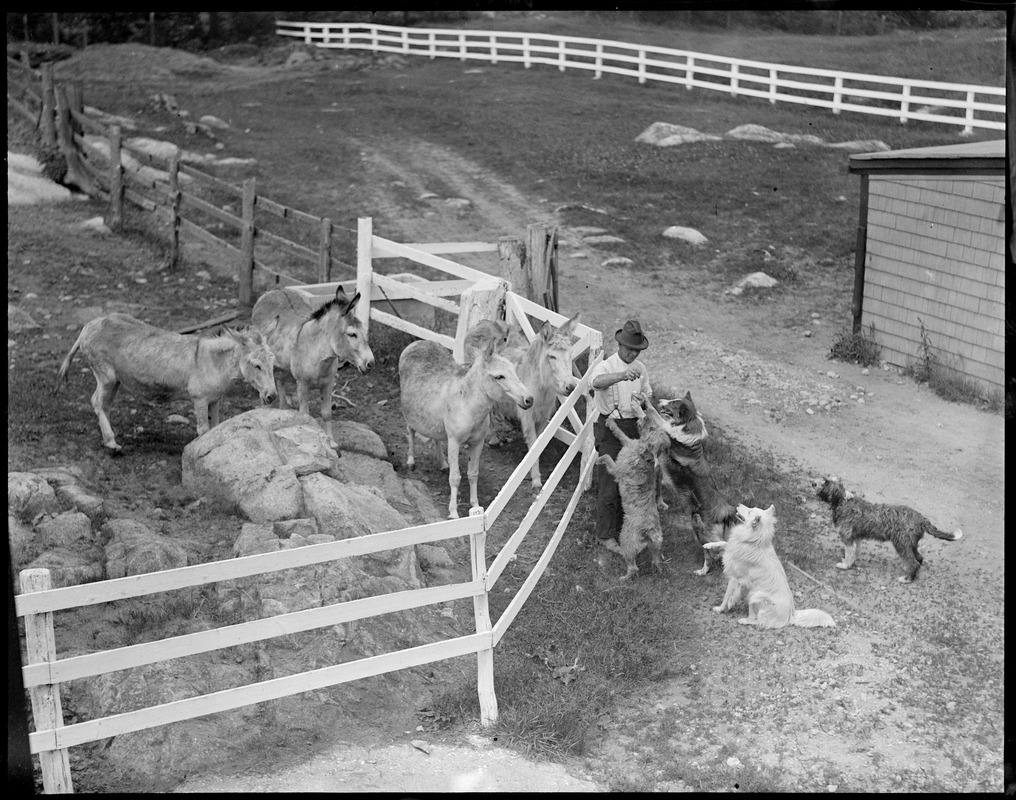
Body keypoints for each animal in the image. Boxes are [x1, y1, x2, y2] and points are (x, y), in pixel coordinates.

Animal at [593, 404, 674, 577]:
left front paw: (599, 459)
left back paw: (623, 576)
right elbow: (620, 433)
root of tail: (649, 531)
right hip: (657, 544)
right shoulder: (628, 442)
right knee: (656, 559)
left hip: (627, 539)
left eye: (651, 427)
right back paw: (656, 568)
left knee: (633, 567)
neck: (644, 457)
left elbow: (608, 455)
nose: (646, 413)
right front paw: (612, 422)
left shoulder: (617, 468)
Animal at [646, 392, 735, 577]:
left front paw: (642, 400)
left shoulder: (668, 436)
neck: (687, 424)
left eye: (672, 403)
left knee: (713, 552)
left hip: (699, 527)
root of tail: (725, 512)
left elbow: (655, 416)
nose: (659, 400)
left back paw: (702, 571)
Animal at [703, 504, 837, 630]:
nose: (738, 505)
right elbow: (724, 543)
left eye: (749, 511)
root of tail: (791, 615)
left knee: (758, 621)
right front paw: (708, 544)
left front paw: (720, 609)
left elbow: (727, 596)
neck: (755, 541)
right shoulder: (732, 547)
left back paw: (743, 620)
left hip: (755, 596)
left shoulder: (735, 579)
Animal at [812, 475, 963, 581]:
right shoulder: (857, 537)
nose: (812, 483)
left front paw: (845, 566)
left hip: (901, 543)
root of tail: (921, 519)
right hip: (910, 544)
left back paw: (907, 579)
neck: (843, 501)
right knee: (919, 558)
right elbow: (854, 552)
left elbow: (849, 553)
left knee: (914, 562)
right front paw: (849, 562)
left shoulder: (847, 538)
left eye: (825, 482)